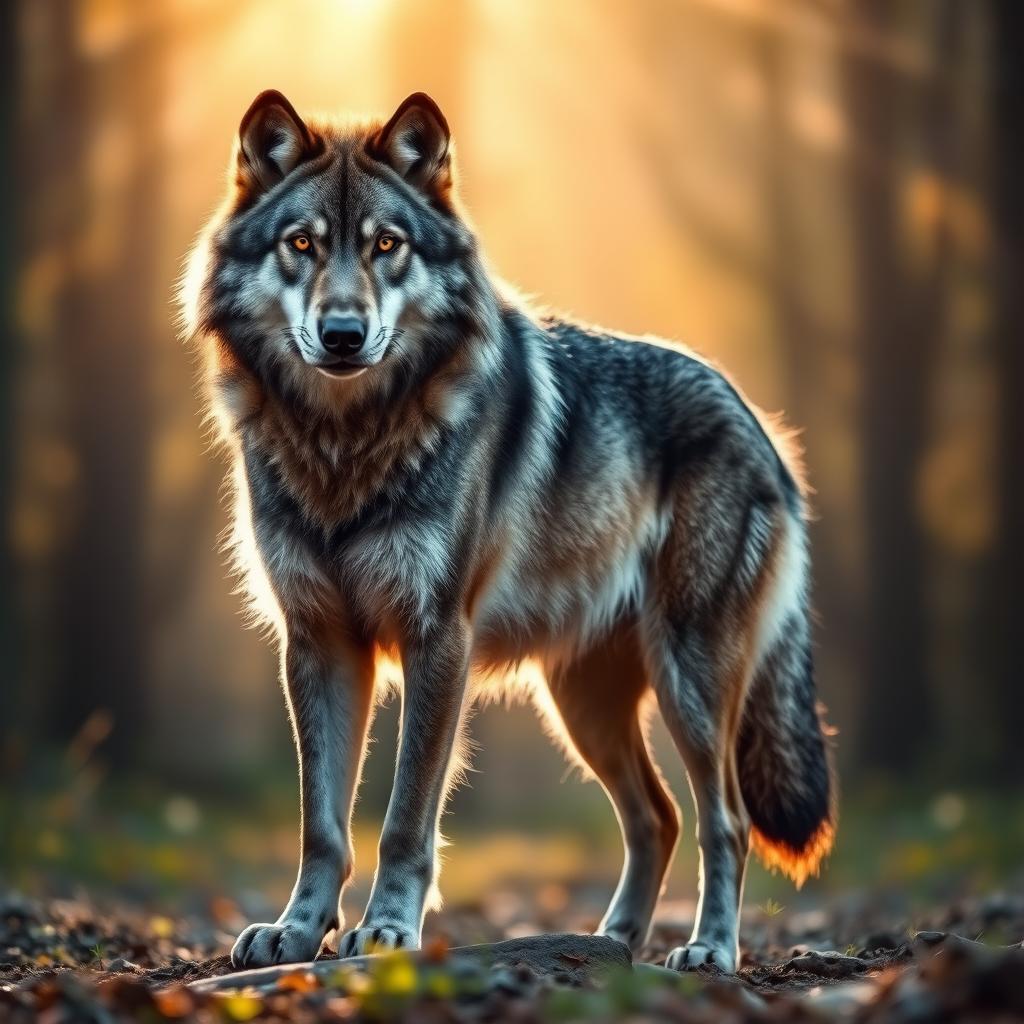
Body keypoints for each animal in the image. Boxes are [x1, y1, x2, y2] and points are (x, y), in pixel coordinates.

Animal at [180, 90, 835, 973]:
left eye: (387, 245)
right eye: (302, 244)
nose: (344, 334)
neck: (345, 442)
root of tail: (761, 425)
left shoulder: (437, 638)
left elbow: (405, 818)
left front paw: (388, 930)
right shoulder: (318, 641)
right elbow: (322, 823)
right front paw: (297, 931)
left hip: (688, 685)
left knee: (721, 820)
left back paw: (708, 950)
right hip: (581, 706)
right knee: (657, 816)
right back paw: (610, 943)